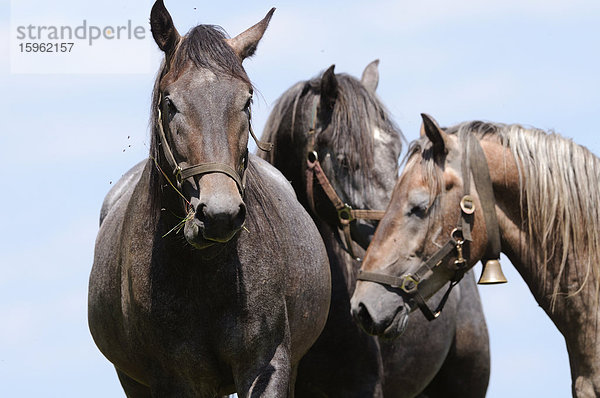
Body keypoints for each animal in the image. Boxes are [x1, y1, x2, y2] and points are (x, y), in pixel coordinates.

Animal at [88, 1, 330, 396]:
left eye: (246, 100)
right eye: (170, 102)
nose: (219, 215)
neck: (205, 272)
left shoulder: (268, 364)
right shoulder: (173, 377)